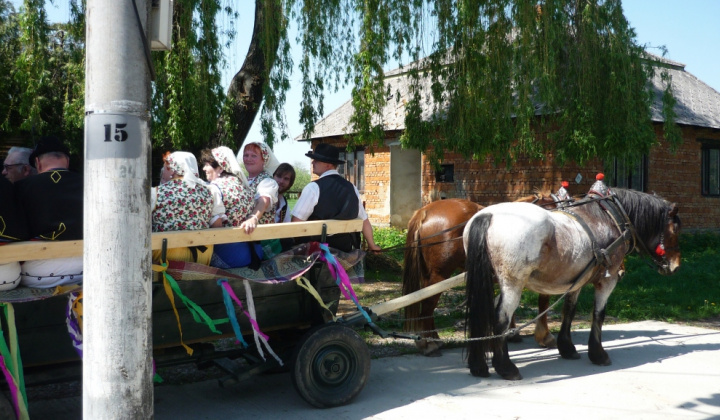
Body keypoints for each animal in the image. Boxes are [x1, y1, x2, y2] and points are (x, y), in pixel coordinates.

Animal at [402, 194, 560, 354]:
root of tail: (425, 210)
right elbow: (543, 302)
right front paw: (545, 336)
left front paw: (511, 332)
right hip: (439, 275)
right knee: (427, 305)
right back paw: (427, 343)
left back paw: (433, 339)